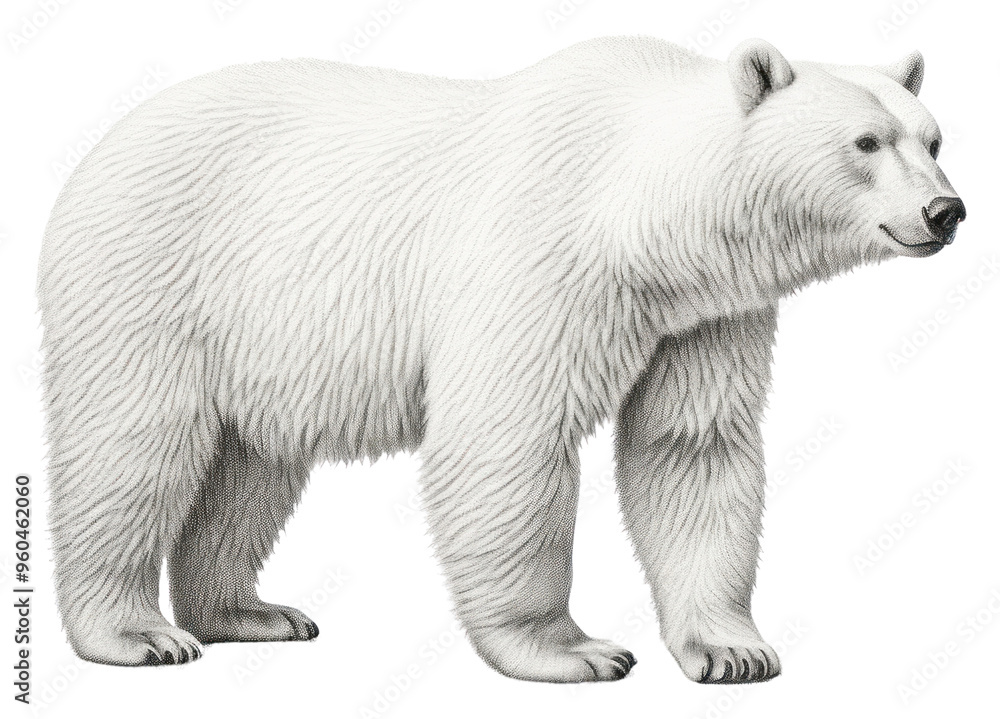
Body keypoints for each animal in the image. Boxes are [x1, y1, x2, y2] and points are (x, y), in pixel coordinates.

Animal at [36, 36, 965, 683]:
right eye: (865, 142)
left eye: (933, 138)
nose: (946, 210)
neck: (639, 213)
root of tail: (97, 151)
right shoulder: (541, 257)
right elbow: (507, 441)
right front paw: (575, 651)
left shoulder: (703, 315)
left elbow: (690, 448)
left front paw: (732, 650)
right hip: (155, 272)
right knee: (135, 446)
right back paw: (136, 632)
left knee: (248, 470)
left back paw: (248, 612)